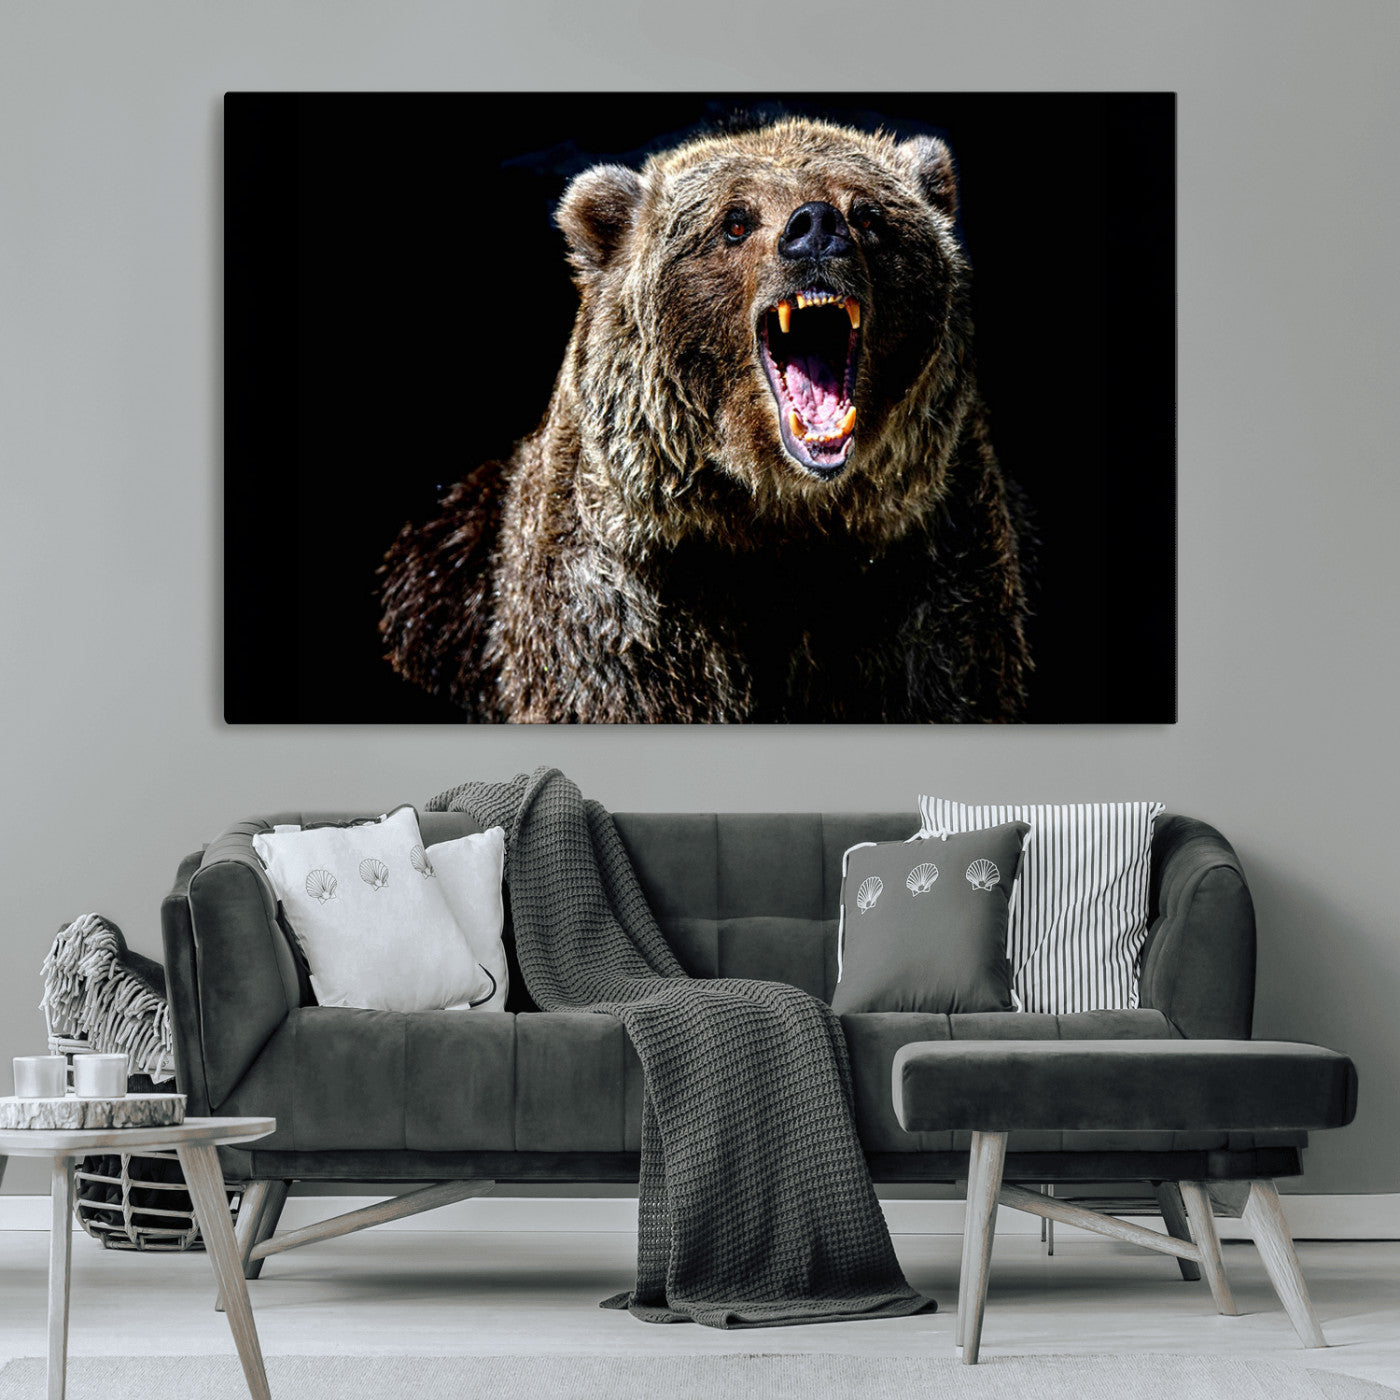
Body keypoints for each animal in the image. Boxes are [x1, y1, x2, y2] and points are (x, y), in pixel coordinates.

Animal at [378, 117, 1032, 722]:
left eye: (868, 213)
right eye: (735, 221)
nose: (817, 228)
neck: (778, 521)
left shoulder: (923, 580)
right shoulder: (629, 607)